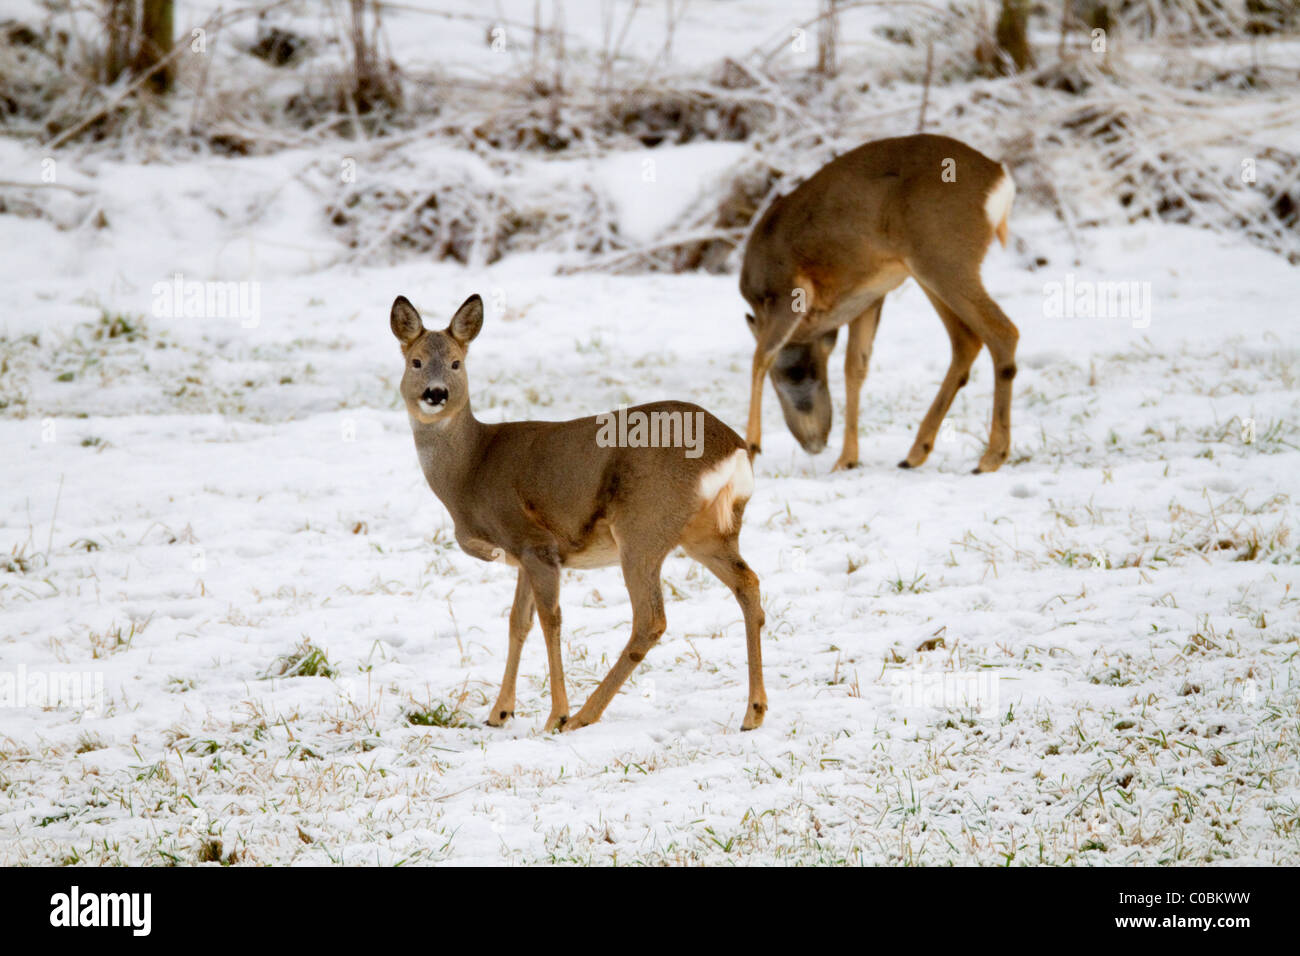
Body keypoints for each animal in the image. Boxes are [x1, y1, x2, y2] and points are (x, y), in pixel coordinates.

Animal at [390, 293, 767, 733]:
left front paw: (556, 713)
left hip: (643, 527)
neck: (471, 468)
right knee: (748, 584)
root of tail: (733, 448)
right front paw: (500, 712)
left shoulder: (535, 542)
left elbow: (550, 620)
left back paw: (584, 715)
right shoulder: (522, 555)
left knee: (650, 619)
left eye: (455, 363)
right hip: (709, 532)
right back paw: (754, 712)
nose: (435, 394)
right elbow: (517, 623)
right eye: (415, 362)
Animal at [740, 133, 1019, 474]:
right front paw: (847, 458)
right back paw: (915, 453)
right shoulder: (868, 298)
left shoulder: (787, 292)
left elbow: (761, 357)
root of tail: (1000, 180)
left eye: (788, 375)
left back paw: (992, 456)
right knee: (966, 341)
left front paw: (752, 446)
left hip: (945, 257)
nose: (814, 443)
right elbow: (855, 367)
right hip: (926, 269)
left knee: (1002, 332)